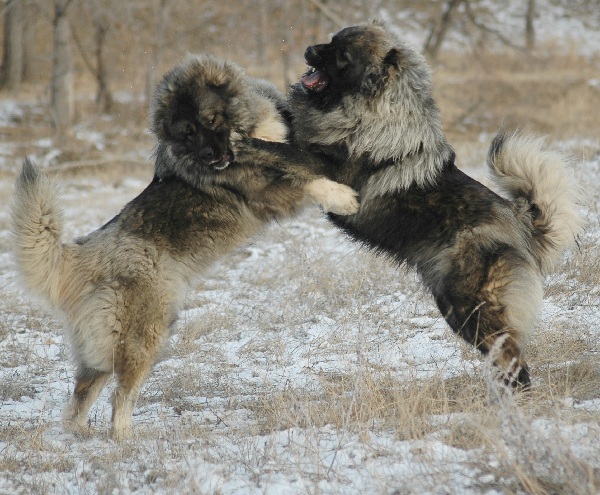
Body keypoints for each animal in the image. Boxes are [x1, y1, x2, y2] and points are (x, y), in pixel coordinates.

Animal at [10, 54, 356, 442]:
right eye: (186, 133)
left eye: (210, 120)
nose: (209, 154)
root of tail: (83, 255)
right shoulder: (264, 192)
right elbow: (308, 182)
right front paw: (343, 197)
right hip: (146, 333)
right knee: (121, 394)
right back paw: (124, 438)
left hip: (101, 347)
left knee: (81, 396)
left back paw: (81, 435)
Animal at [233, 22, 580, 388]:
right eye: (331, 40)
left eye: (342, 57)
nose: (309, 50)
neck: (370, 113)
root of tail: (521, 224)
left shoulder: (324, 167)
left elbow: (280, 150)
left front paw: (240, 142)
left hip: (469, 307)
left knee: (515, 363)